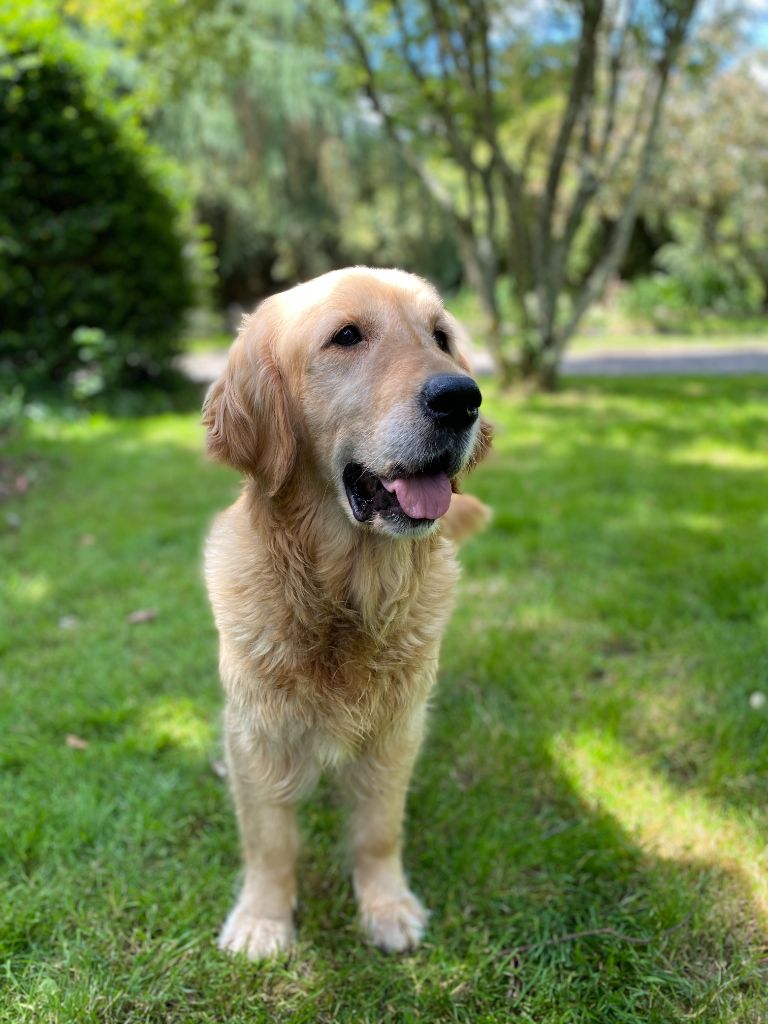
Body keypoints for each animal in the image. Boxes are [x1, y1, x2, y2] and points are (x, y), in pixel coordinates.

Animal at [204, 268, 493, 954]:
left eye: (441, 337)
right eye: (346, 336)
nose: (462, 398)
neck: (344, 599)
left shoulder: (395, 732)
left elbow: (379, 829)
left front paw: (386, 905)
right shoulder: (256, 732)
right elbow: (269, 840)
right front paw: (263, 919)